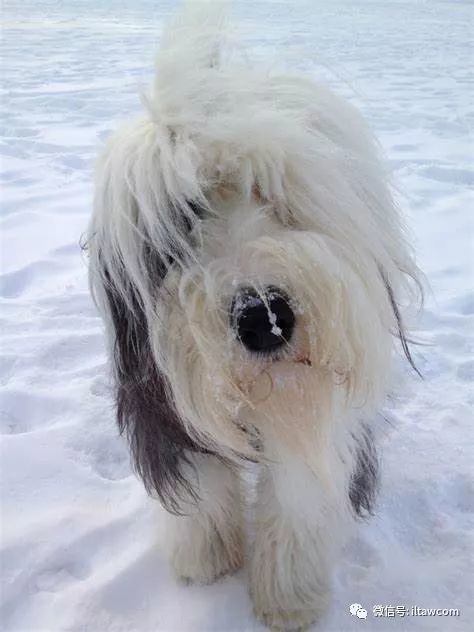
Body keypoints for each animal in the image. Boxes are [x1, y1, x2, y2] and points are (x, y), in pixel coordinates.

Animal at [87, 6, 420, 632]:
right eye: (184, 219)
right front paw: (205, 562)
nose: (265, 319)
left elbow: (295, 498)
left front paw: (288, 599)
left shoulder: (316, 408)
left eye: (270, 195)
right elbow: (199, 482)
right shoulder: (160, 398)